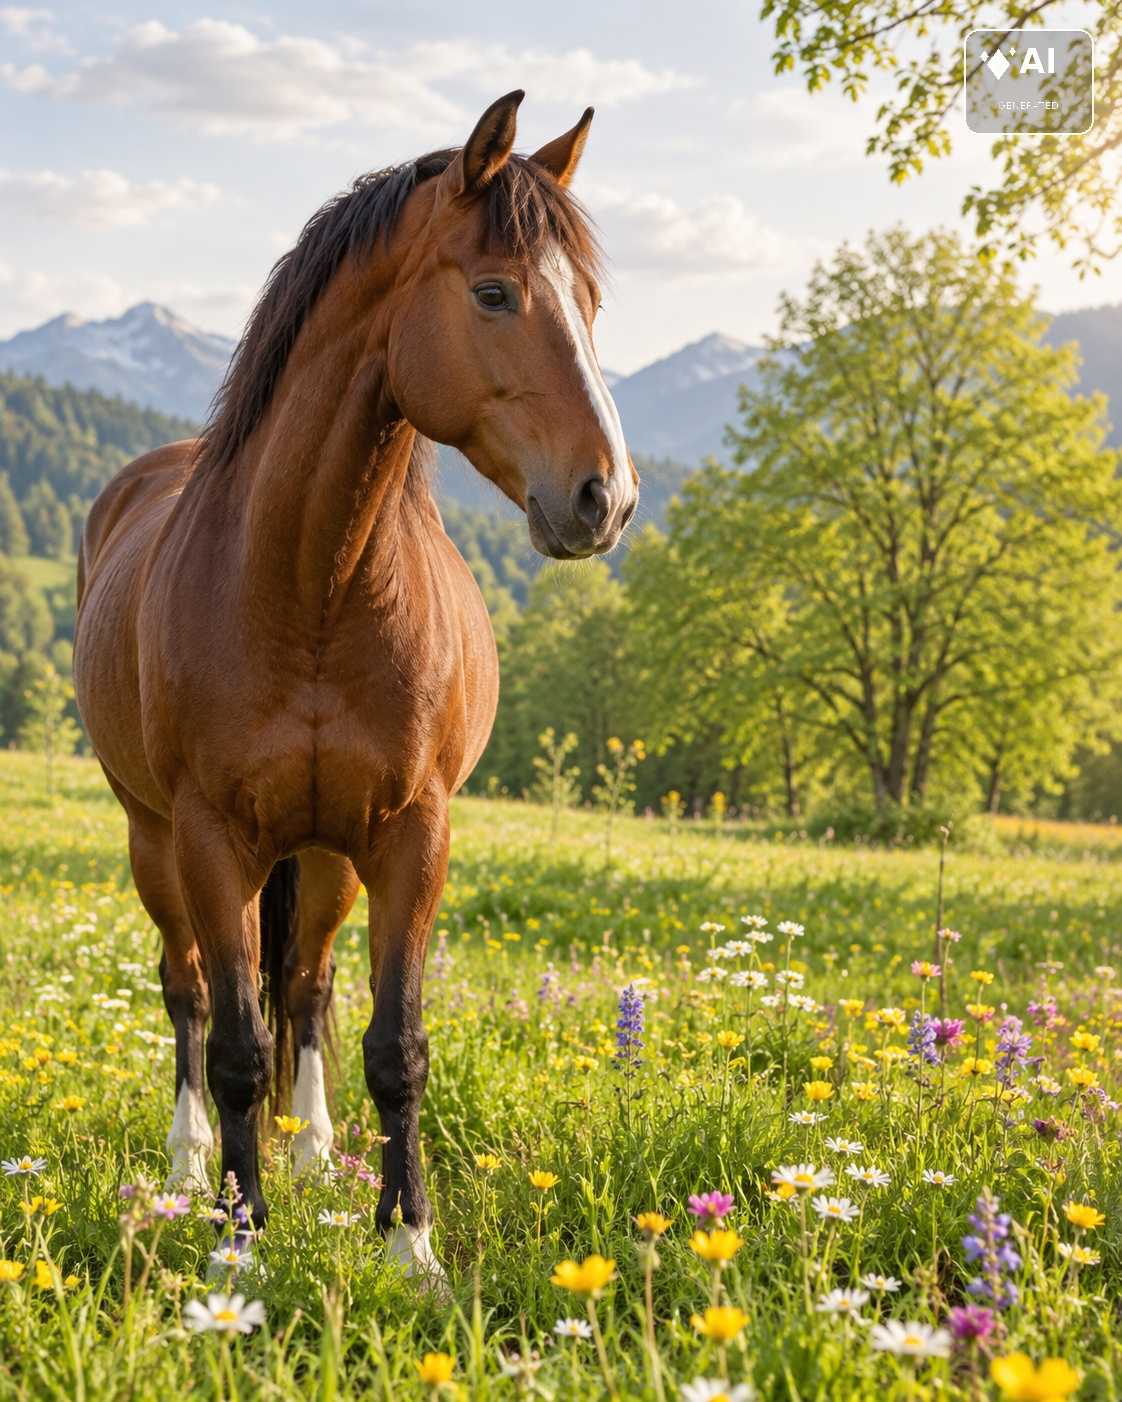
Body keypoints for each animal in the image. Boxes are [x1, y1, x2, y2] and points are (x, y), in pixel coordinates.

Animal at [73, 90, 638, 1282]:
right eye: (493, 291)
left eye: (592, 300)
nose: (604, 499)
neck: (313, 585)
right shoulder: (209, 841)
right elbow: (237, 1047)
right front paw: (238, 1245)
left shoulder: (411, 836)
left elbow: (394, 1041)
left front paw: (408, 1243)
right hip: (156, 843)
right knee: (190, 992)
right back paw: (192, 1160)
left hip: (325, 857)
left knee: (309, 987)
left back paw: (312, 1151)